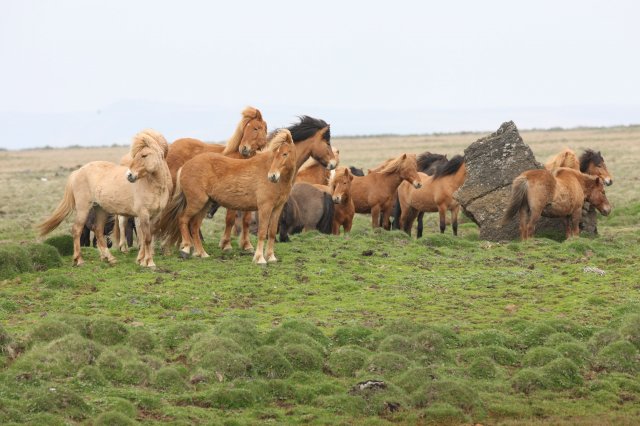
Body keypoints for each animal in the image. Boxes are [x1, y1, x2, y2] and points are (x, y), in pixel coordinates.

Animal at [38, 130, 172, 268]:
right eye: (135, 155)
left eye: (144, 155)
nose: (129, 176)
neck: (153, 185)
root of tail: (78, 172)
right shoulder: (143, 214)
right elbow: (147, 238)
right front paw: (149, 262)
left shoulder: (154, 216)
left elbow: (148, 237)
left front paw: (142, 260)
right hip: (83, 208)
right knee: (77, 230)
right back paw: (79, 260)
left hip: (100, 209)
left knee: (98, 231)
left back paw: (109, 258)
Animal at [156, 128, 296, 264]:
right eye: (274, 155)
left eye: (285, 154)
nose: (272, 176)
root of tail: (185, 165)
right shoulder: (264, 208)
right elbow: (262, 232)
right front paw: (259, 258)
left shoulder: (277, 208)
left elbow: (271, 232)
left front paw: (271, 257)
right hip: (197, 203)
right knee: (183, 219)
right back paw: (185, 248)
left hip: (204, 205)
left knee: (194, 226)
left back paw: (202, 253)